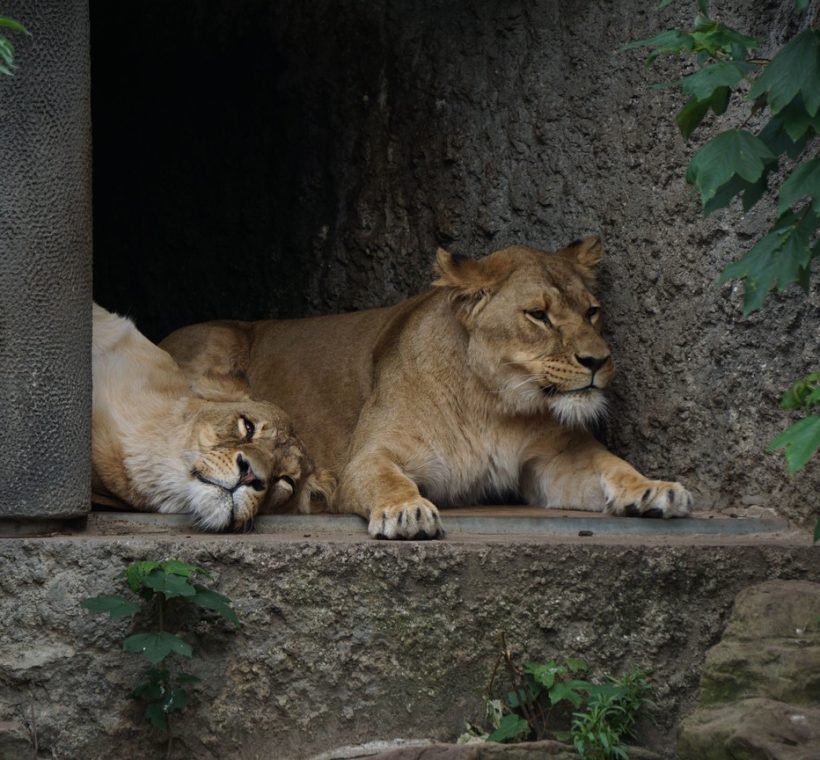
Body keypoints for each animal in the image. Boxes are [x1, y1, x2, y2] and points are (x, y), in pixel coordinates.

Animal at [160, 237, 692, 539]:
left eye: (592, 311)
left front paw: (654, 489)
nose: (598, 361)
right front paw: (407, 512)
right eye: (538, 315)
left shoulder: (549, 463)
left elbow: (610, 466)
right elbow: (388, 479)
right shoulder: (365, 458)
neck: (494, 405)